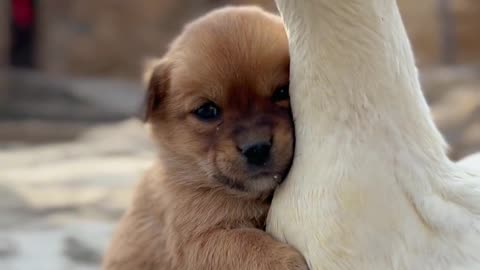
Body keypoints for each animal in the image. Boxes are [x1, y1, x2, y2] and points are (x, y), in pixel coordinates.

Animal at [102, 6, 308, 270]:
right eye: (207, 111)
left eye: (282, 92)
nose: (257, 148)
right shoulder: (198, 239)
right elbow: (244, 243)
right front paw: (283, 261)